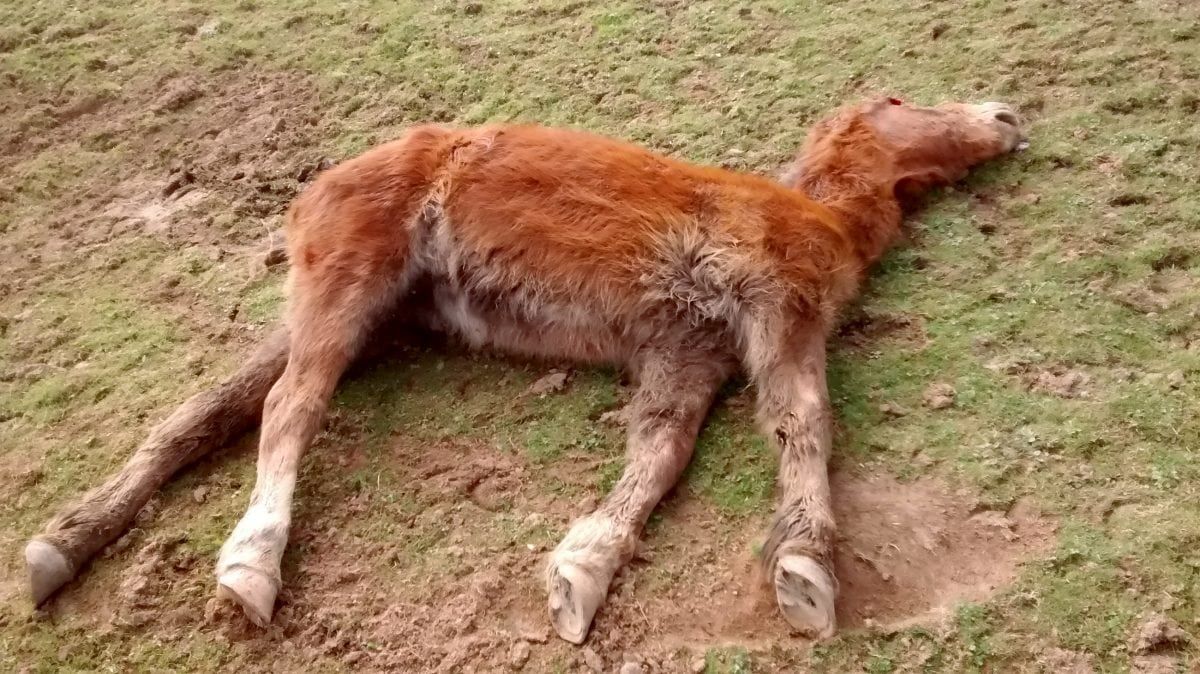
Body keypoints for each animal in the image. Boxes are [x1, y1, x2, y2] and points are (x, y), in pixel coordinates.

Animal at [26, 97, 1025, 643]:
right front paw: (808, 569)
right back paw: (249, 565)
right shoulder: (776, 312)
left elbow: (660, 455)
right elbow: (803, 423)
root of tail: (318, 187)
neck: (813, 214)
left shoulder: (684, 353)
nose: (1007, 117)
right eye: (898, 100)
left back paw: (59, 548)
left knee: (203, 411)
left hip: (361, 311)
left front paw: (583, 569)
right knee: (287, 407)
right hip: (349, 282)